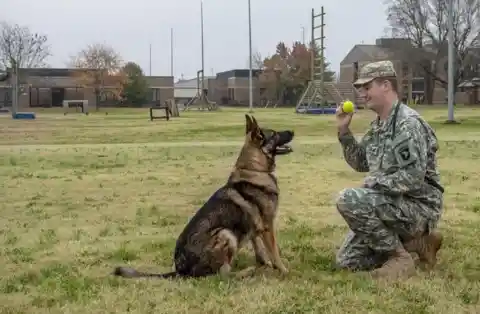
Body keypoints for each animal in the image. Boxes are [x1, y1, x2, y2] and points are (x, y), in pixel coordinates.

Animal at [113, 114, 292, 278]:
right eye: (274, 134)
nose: (292, 131)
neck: (254, 170)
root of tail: (181, 270)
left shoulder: (255, 229)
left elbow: (260, 250)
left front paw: (265, 264)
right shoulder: (268, 227)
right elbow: (274, 252)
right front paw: (283, 270)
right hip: (225, 233)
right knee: (221, 275)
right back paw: (245, 272)